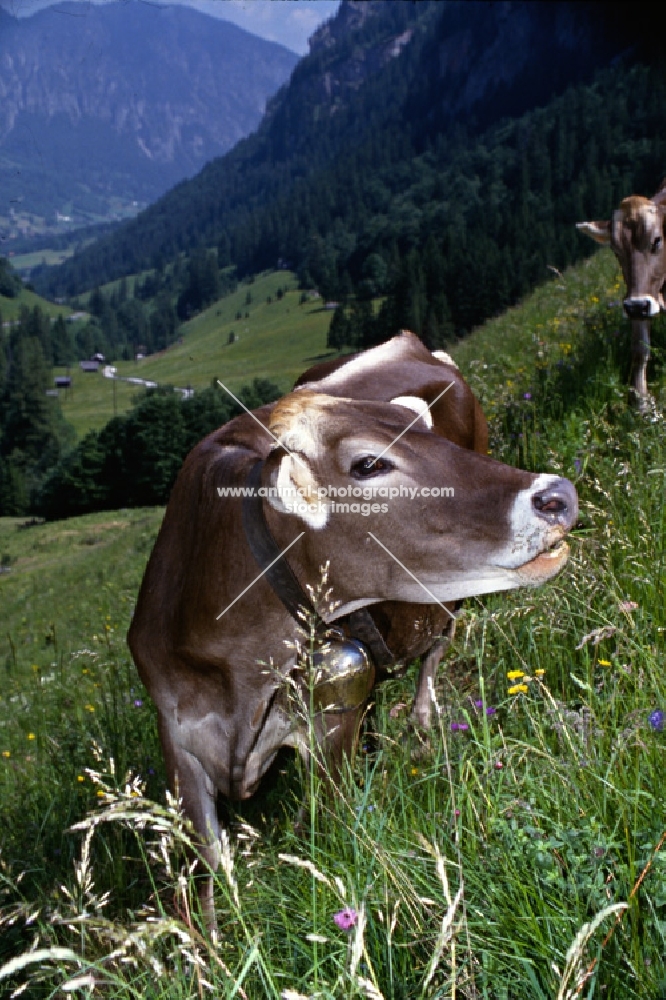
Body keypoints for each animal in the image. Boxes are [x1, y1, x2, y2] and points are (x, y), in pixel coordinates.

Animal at [127, 338, 572, 928]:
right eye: (368, 463)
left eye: (429, 435)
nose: (557, 494)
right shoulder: (177, 740)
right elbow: (207, 869)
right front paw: (211, 940)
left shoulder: (332, 713)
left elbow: (323, 830)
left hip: (443, 609)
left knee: (436, 650)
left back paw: (421, 725)